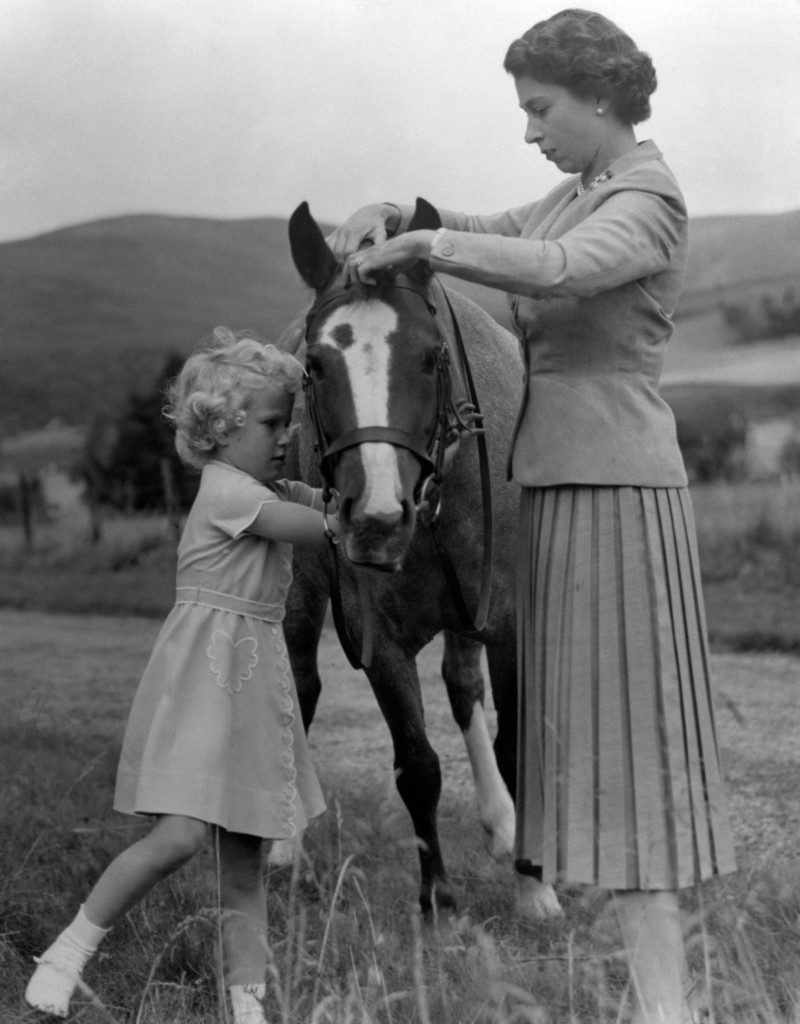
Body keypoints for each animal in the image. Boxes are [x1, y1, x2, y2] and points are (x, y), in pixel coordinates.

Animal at [278, 199, 557, 921]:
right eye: (315, 365)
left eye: (432, 357)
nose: (376, 517)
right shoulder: (377, 638)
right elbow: (417, 765)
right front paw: (437, 900)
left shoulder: (506, 618)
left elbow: (510, 741)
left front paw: (533, 884)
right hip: (297, 591)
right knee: (299, 687)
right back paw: (284, 843)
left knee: (462, 687)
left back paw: (502, 822)